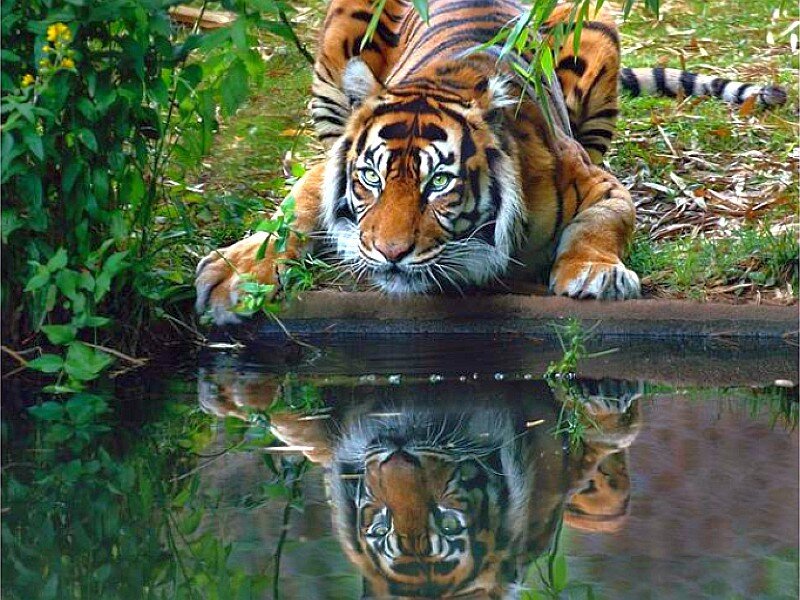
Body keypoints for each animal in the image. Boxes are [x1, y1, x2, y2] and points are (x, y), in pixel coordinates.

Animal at [194, 0, 787, 324]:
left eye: (439, 182)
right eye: (369, 178)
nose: (389, 254)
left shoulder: (601, 184)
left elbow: (600, 225)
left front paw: (594, 273)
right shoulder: (328, 164)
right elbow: (288, 214)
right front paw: (233, 277)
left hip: (591, 29)